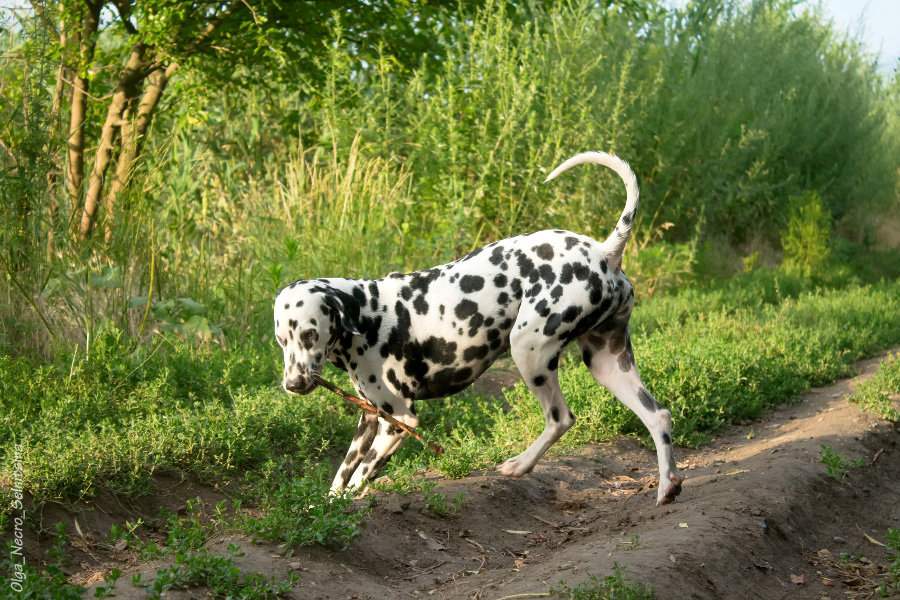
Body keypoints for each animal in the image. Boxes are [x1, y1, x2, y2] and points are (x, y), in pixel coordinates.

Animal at [274, 151, 684, 506]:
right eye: (281, 340)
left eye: (310, 333)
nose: (292, 385)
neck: (366, 313)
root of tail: (604, 251)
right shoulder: (371, 418)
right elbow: (342, 474)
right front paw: (322, 506)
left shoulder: (399, 421)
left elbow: (360, 476)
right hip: (606, 364)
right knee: (658, 416)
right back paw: (667, 485)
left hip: (528, 351)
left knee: (560, 418)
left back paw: (520, 465)